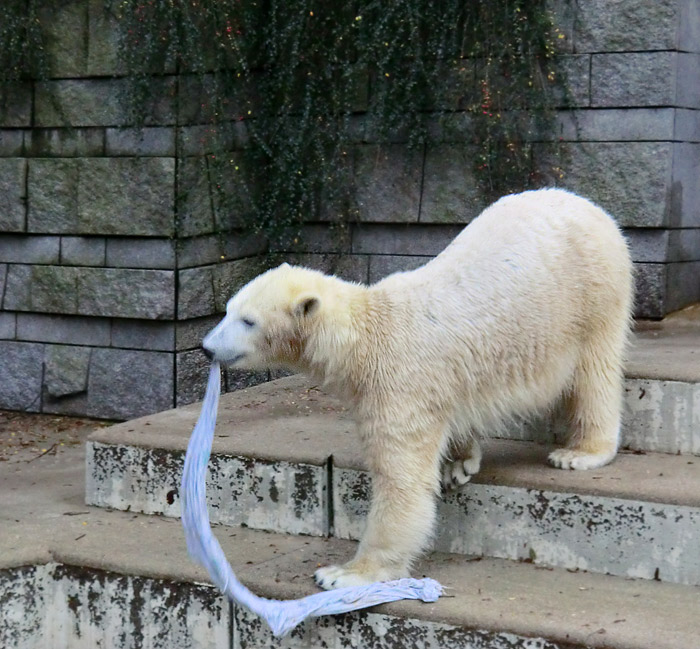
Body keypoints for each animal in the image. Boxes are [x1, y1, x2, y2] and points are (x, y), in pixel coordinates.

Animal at [201, 186, 636, 588]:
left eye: (248, 321)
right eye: (228, 310)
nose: (206, 347)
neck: (366, 335)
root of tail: (589, 206)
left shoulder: (398, 382)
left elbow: (402, 479)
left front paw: (346, 573)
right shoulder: (439, 383)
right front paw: (461, 464)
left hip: (592, 292)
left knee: (595, 371)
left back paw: (581, 452)